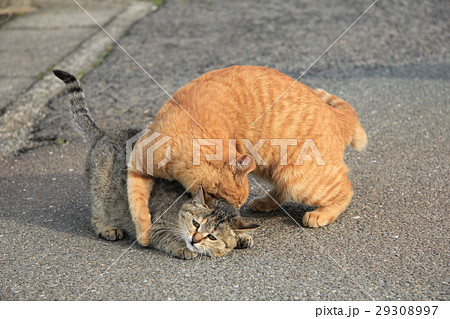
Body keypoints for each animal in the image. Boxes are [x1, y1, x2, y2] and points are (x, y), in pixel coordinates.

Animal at [51, 69, 260, 260]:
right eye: (195, 223)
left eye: (212, 237)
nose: (194, 240)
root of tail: (103, 134)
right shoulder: (157, 227)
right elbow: (167, 238)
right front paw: (184, 247)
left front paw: (241, 236)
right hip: (101, 189)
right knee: (97, 213)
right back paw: (107, 227)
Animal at [127, 64, 366, 245]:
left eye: (237, 205)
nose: (234, 213)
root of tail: (335, 114)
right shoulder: (136, 167)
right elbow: (137, 204)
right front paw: (144, 233)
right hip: (274, 169)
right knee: (284, 189)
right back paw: (265, 203)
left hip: (299, 178)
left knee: (346, 190)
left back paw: (320, 214)